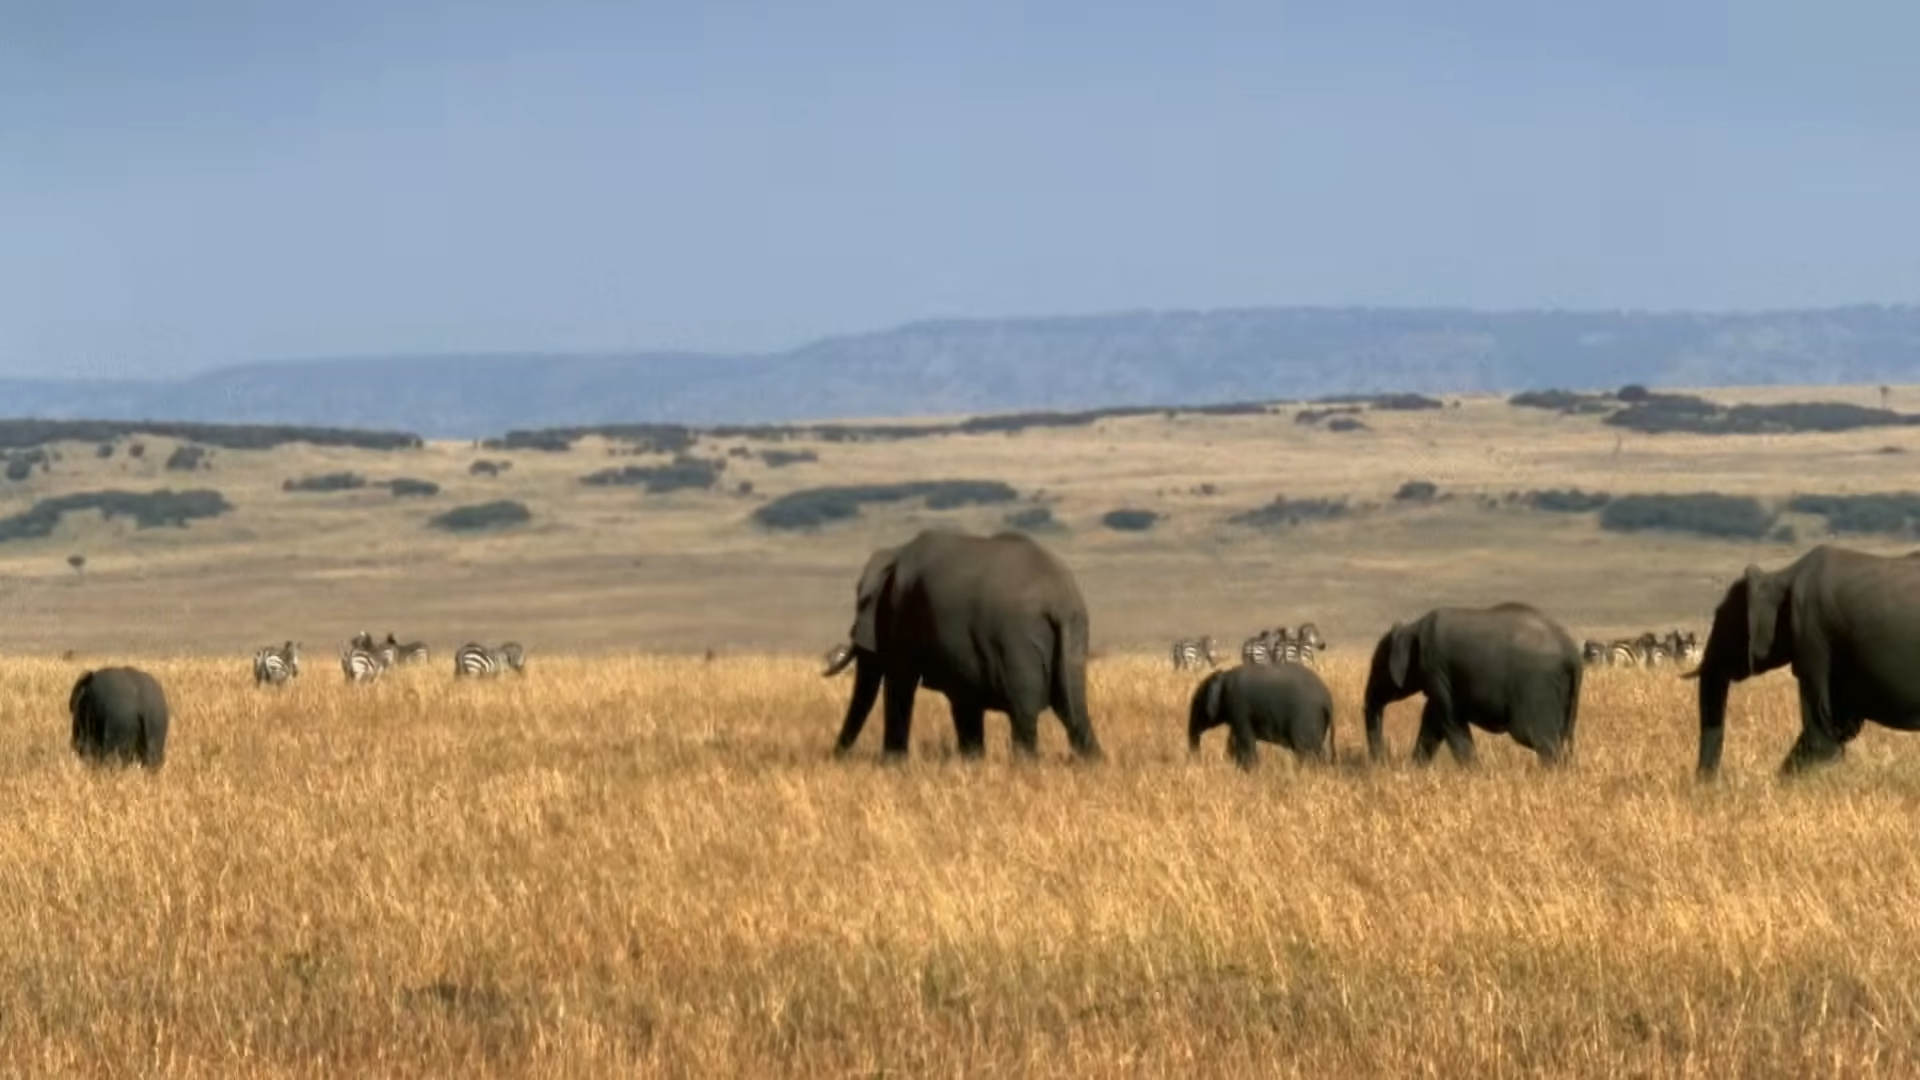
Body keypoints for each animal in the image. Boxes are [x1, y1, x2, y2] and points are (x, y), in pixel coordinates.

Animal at [826, 528, 1104, 761]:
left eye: (862, 602)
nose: (836, 757)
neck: (893, 554)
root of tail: (1059, 601)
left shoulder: (903, 614)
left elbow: (900, 683)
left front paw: (892, 766)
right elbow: (965, 700)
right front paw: (972, 763)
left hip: (1016, 644)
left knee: (1024, 713)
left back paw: (1026, 767)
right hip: (1073, 637)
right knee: (1073, 710)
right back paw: (1092, 763)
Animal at [1188, 661, 1334, 769]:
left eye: (1197, 702)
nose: (1199, 761)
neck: (1223, 675)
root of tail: (1327, 700)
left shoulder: (1238, 705)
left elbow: (1244, 741)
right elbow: (1234, 741)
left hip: (1307, 718)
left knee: (1306, 751)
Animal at [1362, 602, 1582, 767]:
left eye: (1376, 668)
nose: (1381, 762)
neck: (1413, 627)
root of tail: (1572, 652)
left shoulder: (1435, 667)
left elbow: (1449, 718)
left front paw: (1473, 772)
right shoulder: (1440, 676)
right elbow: (1432, 719)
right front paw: (1415, 770)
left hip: (1536, 687)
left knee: (1537, 738)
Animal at [1683, 544, 1920, 778]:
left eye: (1721, 616)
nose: (1708, 782)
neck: (1780, 576)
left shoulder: (1811, 636)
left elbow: (1824, 726)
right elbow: (1842, 721)